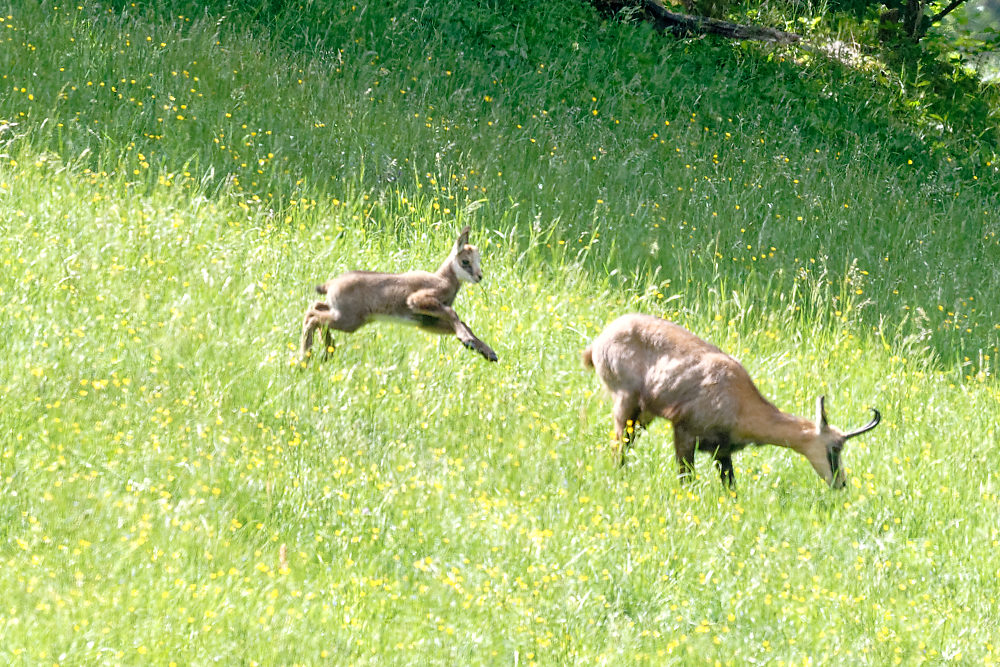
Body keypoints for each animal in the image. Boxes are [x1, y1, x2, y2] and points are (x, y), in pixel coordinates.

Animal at [299, 226, 498, 363]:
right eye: (465, 261)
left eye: (479, 261)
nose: (479, 276)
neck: (443, 279)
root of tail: (331, 284)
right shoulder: (417, 301)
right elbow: (453, 314)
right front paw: (467, 340)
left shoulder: (427, 322)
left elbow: (461, 322)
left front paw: (488, 352)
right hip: (349, 319)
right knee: (313, 317)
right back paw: (307, 358)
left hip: (339, 313)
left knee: (313, 309)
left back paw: (325, 351)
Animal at [582, 313, 880, 488]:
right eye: (834, 448)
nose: (841, 483)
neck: (739, 402)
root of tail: (599, 341)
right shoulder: (684, 433)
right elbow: (686, 480)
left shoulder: (722, 452)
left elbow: (730, 486)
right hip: (626, 404)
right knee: (619, 445)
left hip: (643, 414)